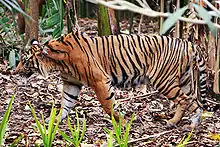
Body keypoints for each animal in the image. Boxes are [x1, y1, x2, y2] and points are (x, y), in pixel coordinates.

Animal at [14, 30, 211, 127]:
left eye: (25, 61)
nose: (14, 71)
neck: (58, 62)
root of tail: (189, 43)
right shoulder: (71, 83)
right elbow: (66, 104)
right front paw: (53, 121)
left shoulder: (100, 80)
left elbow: (108, 106)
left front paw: (122, 123)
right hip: (185, 81)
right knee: (194, 101)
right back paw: (189, 122)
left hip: (164, 80)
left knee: (186, 101)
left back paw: (181, 124)